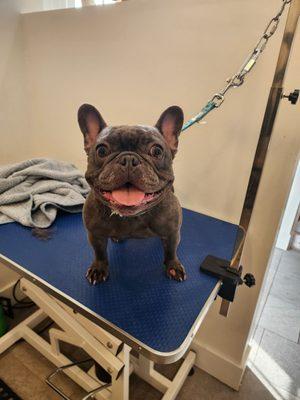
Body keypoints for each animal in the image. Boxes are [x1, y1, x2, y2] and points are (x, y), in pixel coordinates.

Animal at [77, 104, 185, 284]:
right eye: (101, 151)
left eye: (157, 151)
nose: (128, 159)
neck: (131, 217)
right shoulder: (95, 234)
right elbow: (99, 253)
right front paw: (99, 268)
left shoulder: (172, 233)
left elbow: (171, 250)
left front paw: (173, 266)